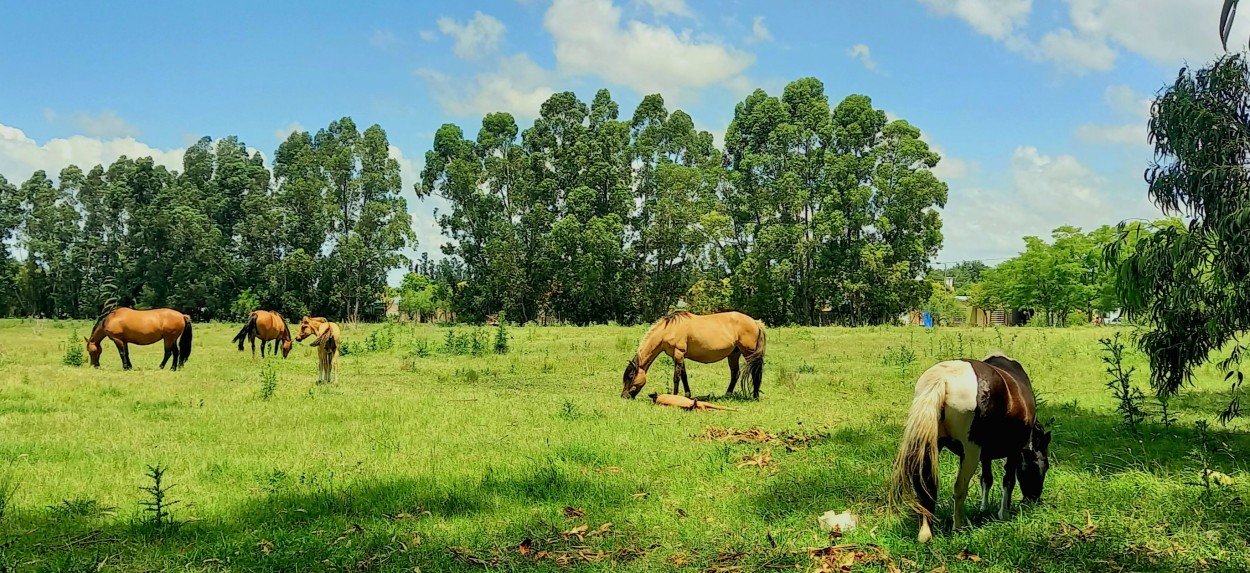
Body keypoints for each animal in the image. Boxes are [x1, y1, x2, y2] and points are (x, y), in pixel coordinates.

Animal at [620, 311, 765, 400]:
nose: (624, 396)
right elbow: (684, 376)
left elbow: (676, 377)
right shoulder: (678, 356)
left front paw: (674, 396)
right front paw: (687, 395)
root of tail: (755, 322)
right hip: (734, 354)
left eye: (631, 376)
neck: (669, 329)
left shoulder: (679, 353)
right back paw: (727, 395)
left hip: (748, 353)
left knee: (754, 372)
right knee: (735, 373)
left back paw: (755, 396)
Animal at [885, 350, 1050, 542]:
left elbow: (986, 479)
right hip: (970, 452)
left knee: (926, 486)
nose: (1034, 499)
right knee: (959, 487)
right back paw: (958, 526)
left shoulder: (986, 454)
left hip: (931, 446)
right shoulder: (1014, 450)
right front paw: (1004, 514)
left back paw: (926, 533)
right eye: (1044, 466)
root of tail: (943, 379)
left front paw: (983, 509)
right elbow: (1008, 480)